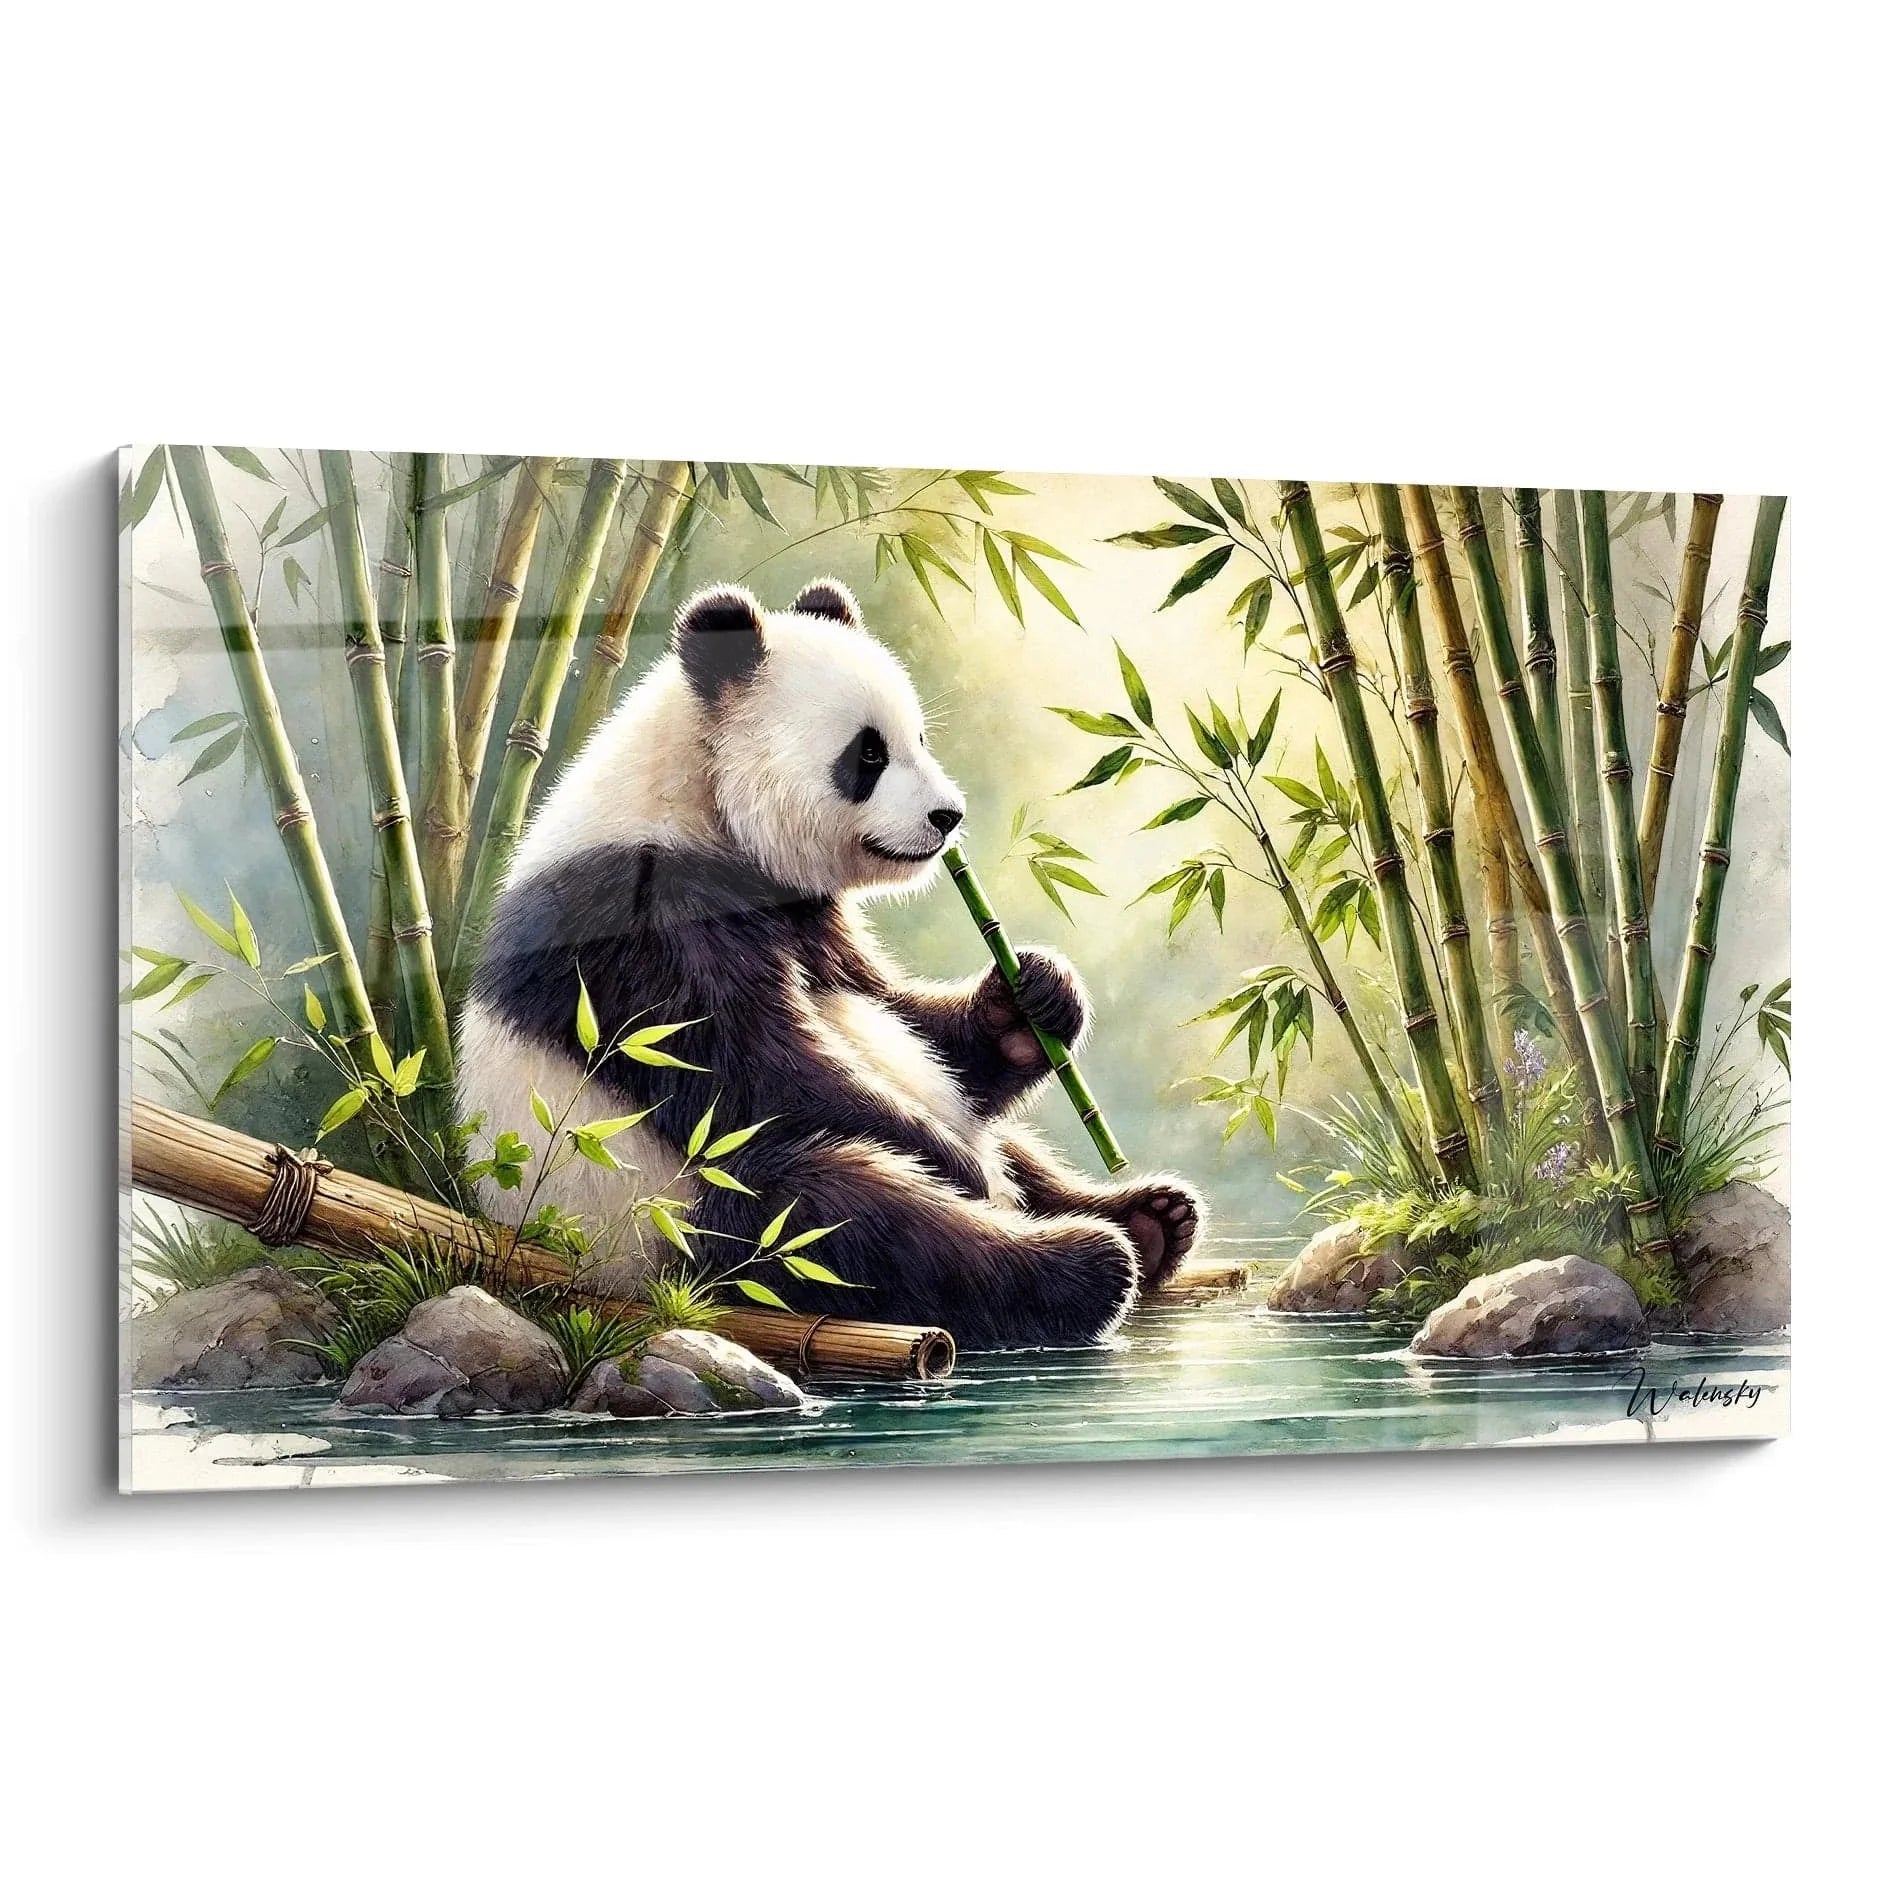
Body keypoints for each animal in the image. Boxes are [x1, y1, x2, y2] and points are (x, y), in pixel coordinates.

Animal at [456, 577, 1203, 1351]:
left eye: (919, 738)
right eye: (868, 755)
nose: (948, 817)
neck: (692, 800)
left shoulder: (813, 918)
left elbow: (906, 1017)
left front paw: (1035, 998)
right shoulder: (643, 921)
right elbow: (757, 1072)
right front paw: (962, 1167)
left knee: (995, 1146)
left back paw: (1151, 1218)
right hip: (671, 1221)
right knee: (853, 1216)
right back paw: (1083, 1259)